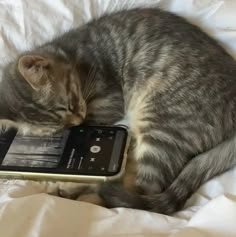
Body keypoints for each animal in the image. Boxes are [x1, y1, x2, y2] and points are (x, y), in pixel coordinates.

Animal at [0, 7, 236, 215]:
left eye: (71, 104)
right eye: (60, 127)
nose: (77, 122)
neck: (70, 55)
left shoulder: (109, 98)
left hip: (161, 124)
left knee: (142, 190)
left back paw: (79, 192)